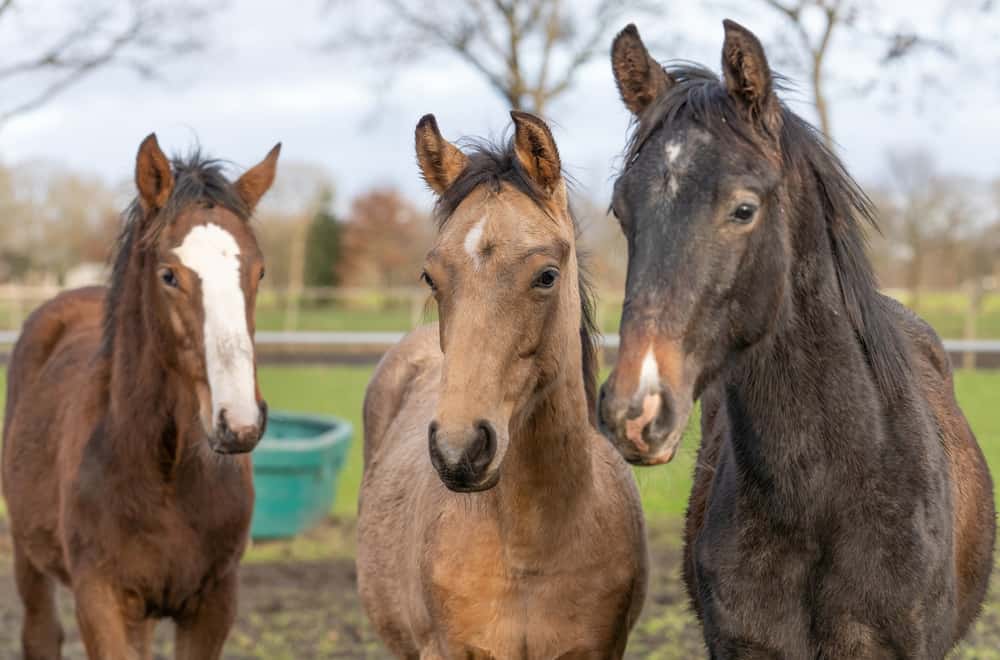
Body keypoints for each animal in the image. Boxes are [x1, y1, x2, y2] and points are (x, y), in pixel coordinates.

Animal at [2, 134, 280, 659]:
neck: (165, 472)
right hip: (29, 557)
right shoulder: (100, 600)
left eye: (258, 273)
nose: (238, 423)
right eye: (169, 275)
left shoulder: (213, 603)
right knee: (40, 634)